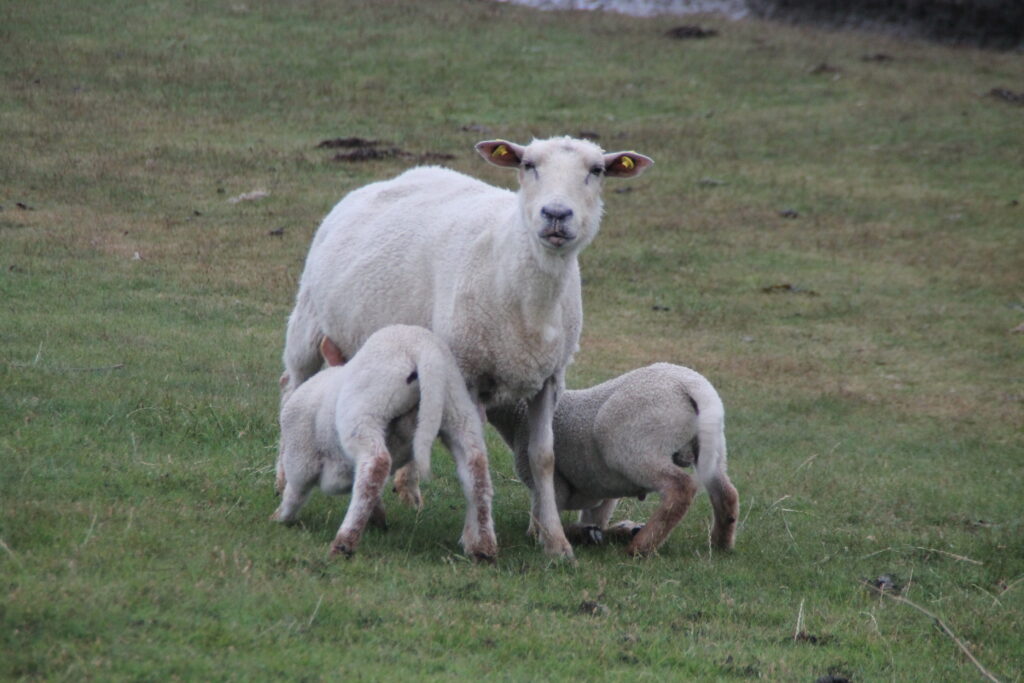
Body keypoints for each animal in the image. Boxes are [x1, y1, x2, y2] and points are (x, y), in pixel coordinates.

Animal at [271, 324, 497, 560]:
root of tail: (423, 349)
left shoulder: (301, 453)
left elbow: (296, 490)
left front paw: (281, 517)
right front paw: (377, 517)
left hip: (367, 409)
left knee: (376, 464)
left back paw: (344, 542)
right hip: (458, 409)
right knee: (476, 468)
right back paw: (483, 547)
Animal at [486, 363, 739, 557]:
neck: (518, 417)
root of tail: (692, 387)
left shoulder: (551, 485)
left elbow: (540, 523)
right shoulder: (603, 488)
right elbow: (596, 519)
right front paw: (598, 532)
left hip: (634, 448)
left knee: (680, 486)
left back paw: (640, 547)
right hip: (713, 446)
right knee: (726, 492)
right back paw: (720, 543)